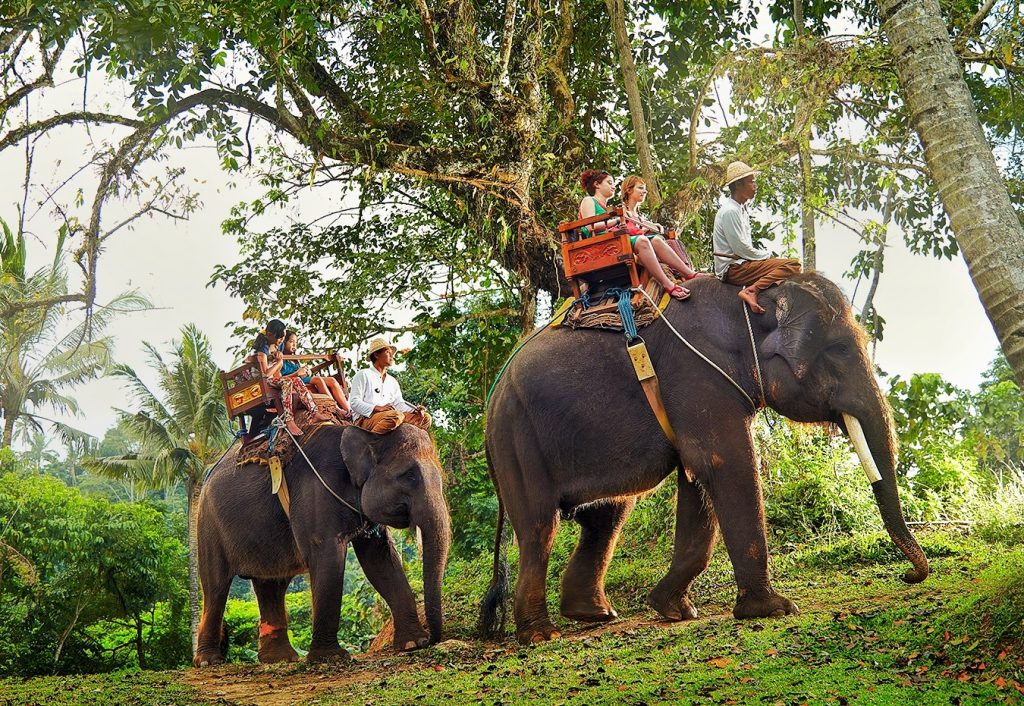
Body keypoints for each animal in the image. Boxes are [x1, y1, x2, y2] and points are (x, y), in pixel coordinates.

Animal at [192, 424, 448, 668]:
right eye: (409, 475)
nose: (433, 639)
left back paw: (280, 659)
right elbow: (328, 557)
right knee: (216, 586)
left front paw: (414, 643)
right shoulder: (315, 494)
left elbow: (380, 561)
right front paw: (330, 657)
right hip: (207, 526)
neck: (361, 432)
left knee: (271, 584)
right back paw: (208, 661)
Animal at [479, 270, 929, 643]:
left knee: (608, 514)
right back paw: (541, 635)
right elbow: (725, 463)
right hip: (517, 439)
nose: (908, 575)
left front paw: (673, 609)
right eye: (837, 350)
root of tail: (491, 401)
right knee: (539, 527)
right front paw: (774, 610)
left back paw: (595, 614)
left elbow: (696, 479)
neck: (747, 303)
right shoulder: (697, 376)